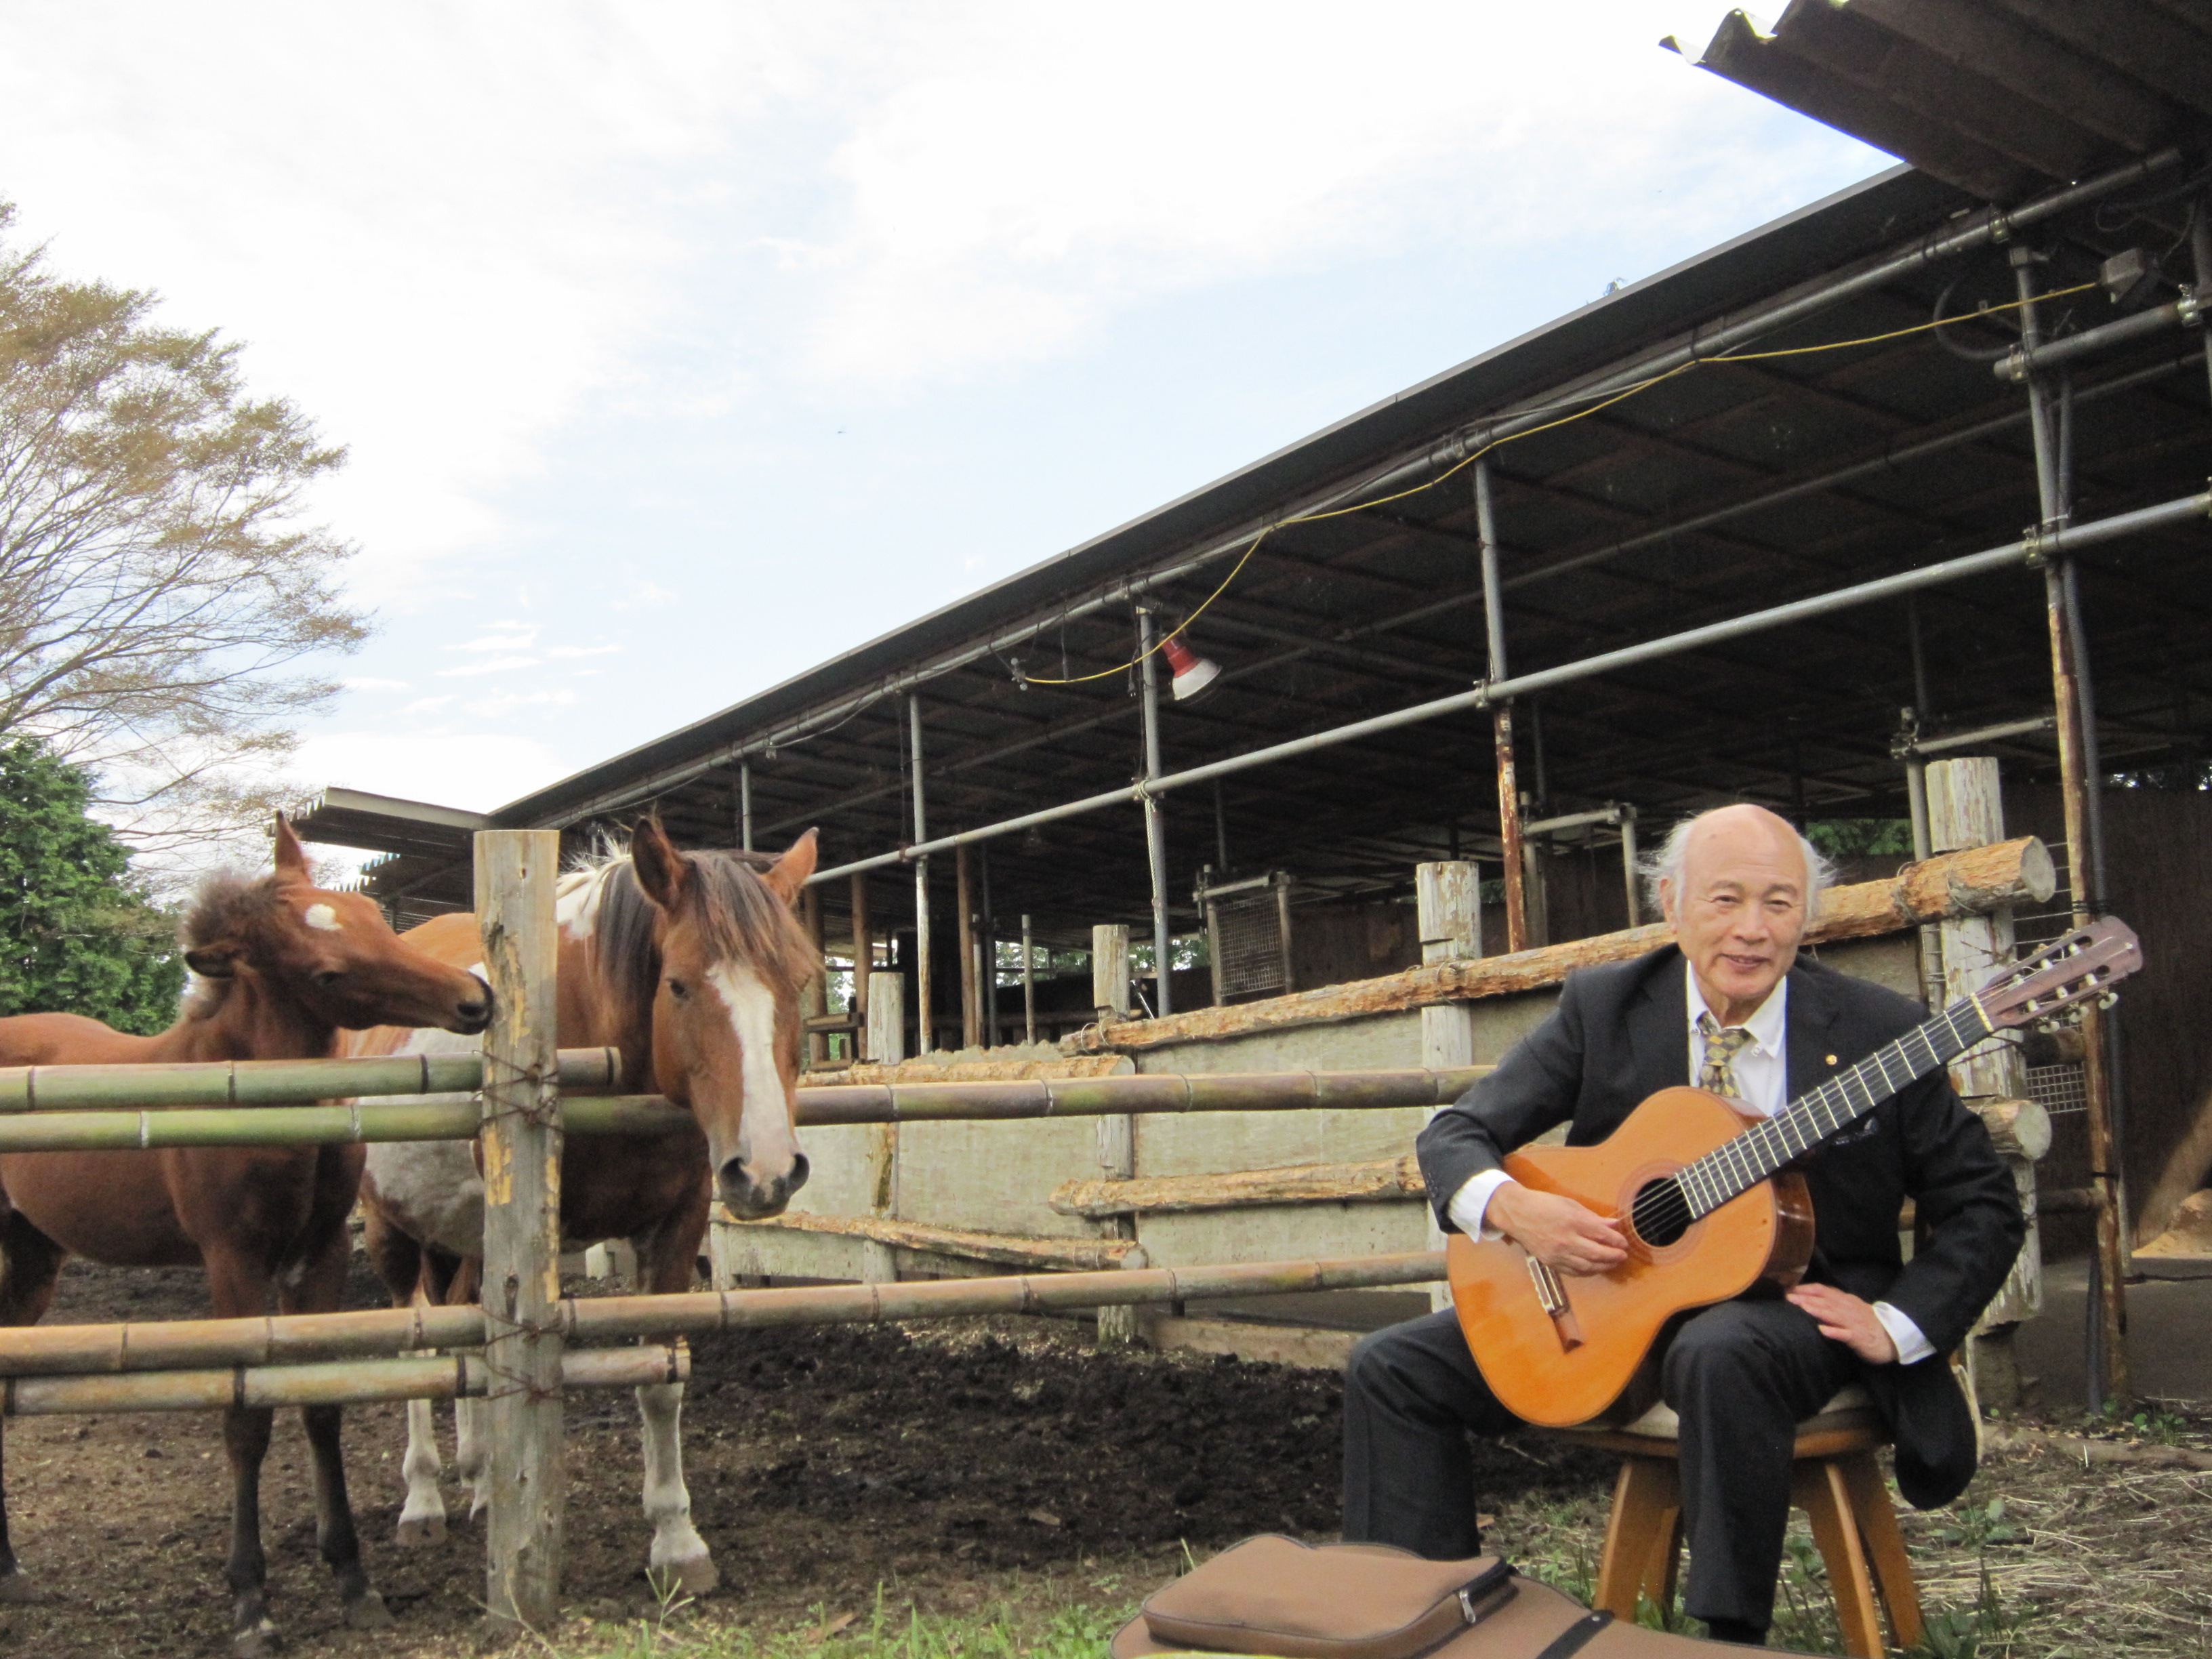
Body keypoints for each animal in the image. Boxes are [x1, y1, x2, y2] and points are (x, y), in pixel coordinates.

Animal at [0, 814, 491, 1654]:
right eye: (326, 973)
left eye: (369, 916)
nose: (472, 999)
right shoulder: (232, 1261)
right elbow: (245, 1416)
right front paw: (252, 1602)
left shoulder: (318, 1255)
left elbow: (320, 1403)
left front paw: (354, 1582)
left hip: (32, 1259)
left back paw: (11, 1570)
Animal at [349, 823, 818, 1601]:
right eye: (678, 984)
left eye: (801, 982)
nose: (767, 1171)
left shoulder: (674, 1229)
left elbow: (660, 1382)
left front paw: (677, 1542)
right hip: (393, 1231)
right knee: (416, 1345)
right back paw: (425, 1500)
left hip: (468, 1239)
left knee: (462, 1329)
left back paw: (481, 1482)